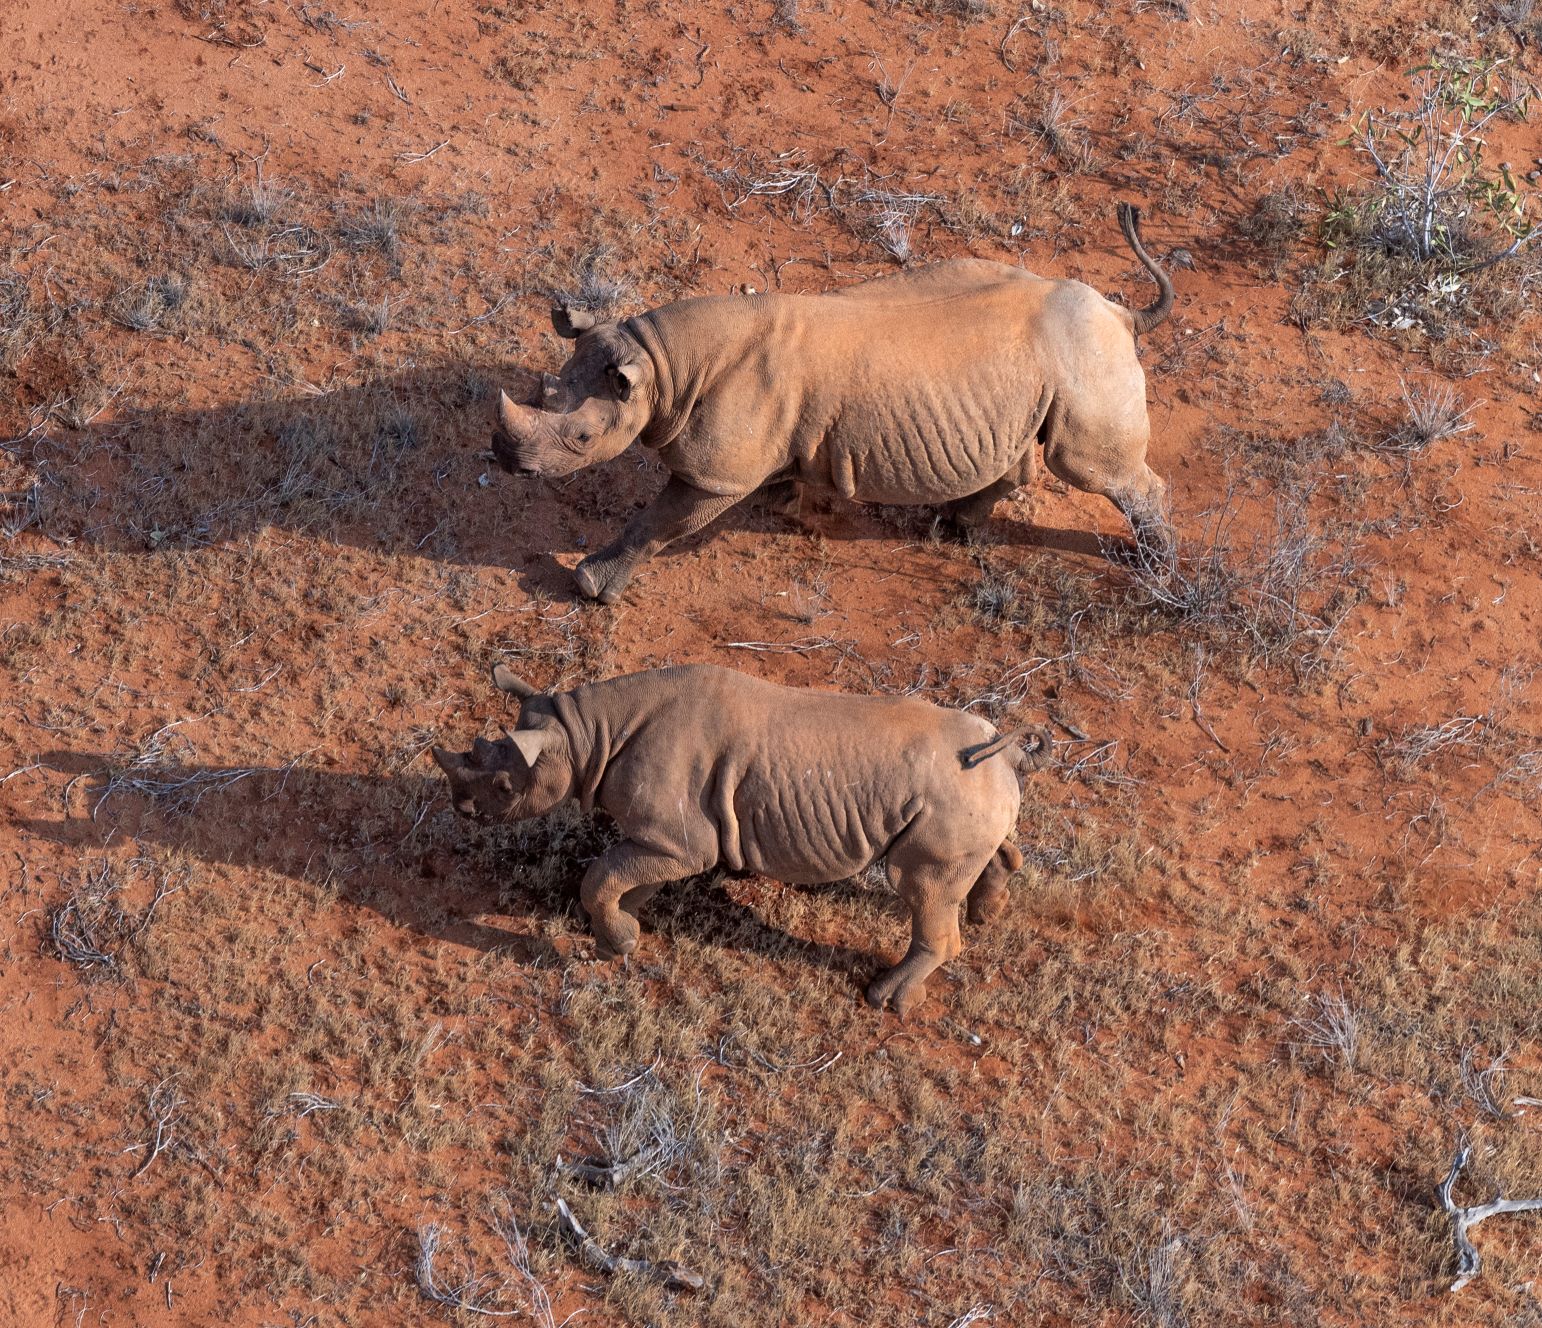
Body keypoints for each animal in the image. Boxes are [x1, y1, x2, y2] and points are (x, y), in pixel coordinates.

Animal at [431, 663, 1052, 1016]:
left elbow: (601, 875)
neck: (584, 733)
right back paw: (986, 914)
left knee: (919, 886)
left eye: (505, 786)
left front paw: (618, 944)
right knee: (978, 860)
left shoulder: (681, 841)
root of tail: (1005, 751)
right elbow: (625, 876)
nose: (461, 808)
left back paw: (886, 1001)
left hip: (949, 800)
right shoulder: (664, 839)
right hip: (969, 793)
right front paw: (627, 927)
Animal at [491, 203, 1175, 603]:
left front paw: (588, 585)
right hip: (1041, 369)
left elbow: (658, 521)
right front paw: (779, 502)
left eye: (582, 440)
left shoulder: (713, 474)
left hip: (1084, 364)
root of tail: (1121, 313)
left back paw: (1156, 570)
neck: (660, 361)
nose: (502, 459)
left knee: (1089, 468)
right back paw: (953, 527)